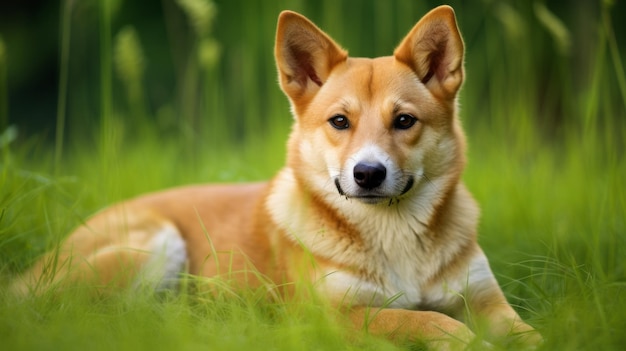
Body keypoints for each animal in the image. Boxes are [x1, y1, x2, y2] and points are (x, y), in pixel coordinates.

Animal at [15, 4, 540, 350]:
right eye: (339, 122)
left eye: (405, 121)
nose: (368, 174)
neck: (394, 236)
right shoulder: (332, 316)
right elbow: (425, 321)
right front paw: (465, 341)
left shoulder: (488, 302)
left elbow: (529, 332)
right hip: (155, 243)